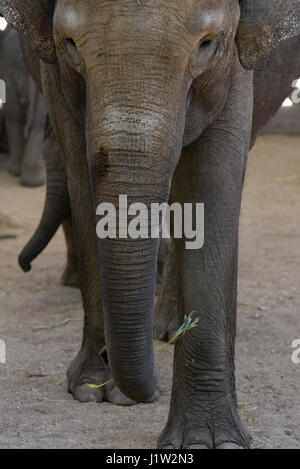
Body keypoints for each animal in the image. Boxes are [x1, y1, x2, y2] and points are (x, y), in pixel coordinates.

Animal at [2, 0, 300, 448]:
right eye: (70, 43)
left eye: (207, 43)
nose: (111, 357)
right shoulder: (54, 71)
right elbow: (82, 179)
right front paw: (95, 389)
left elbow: (212, 181)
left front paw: (210, 440)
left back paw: (168, 328)